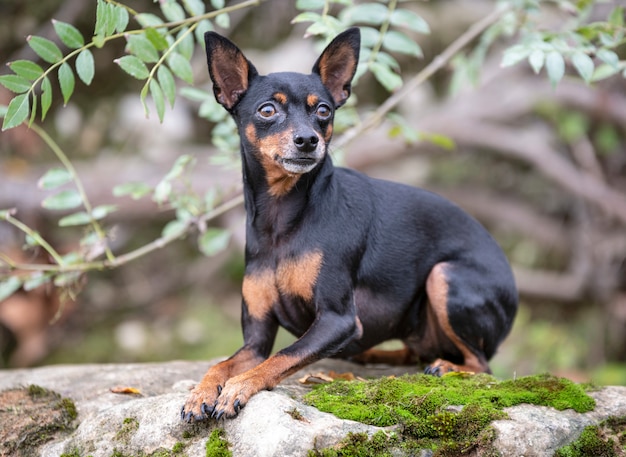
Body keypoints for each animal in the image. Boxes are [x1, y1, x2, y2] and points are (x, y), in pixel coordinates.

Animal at [178, 27, 516, 420]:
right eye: (267, 110)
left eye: (323, 110)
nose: (307, 140)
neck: (284, 219)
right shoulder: (256, 339)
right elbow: (221, 364)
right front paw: (200, 392)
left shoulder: (337, 320)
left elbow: (282, 356)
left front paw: (239, 386)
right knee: (418, 352)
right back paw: (372, 355)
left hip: (445, 275)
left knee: (481, 364)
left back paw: (446, 367)